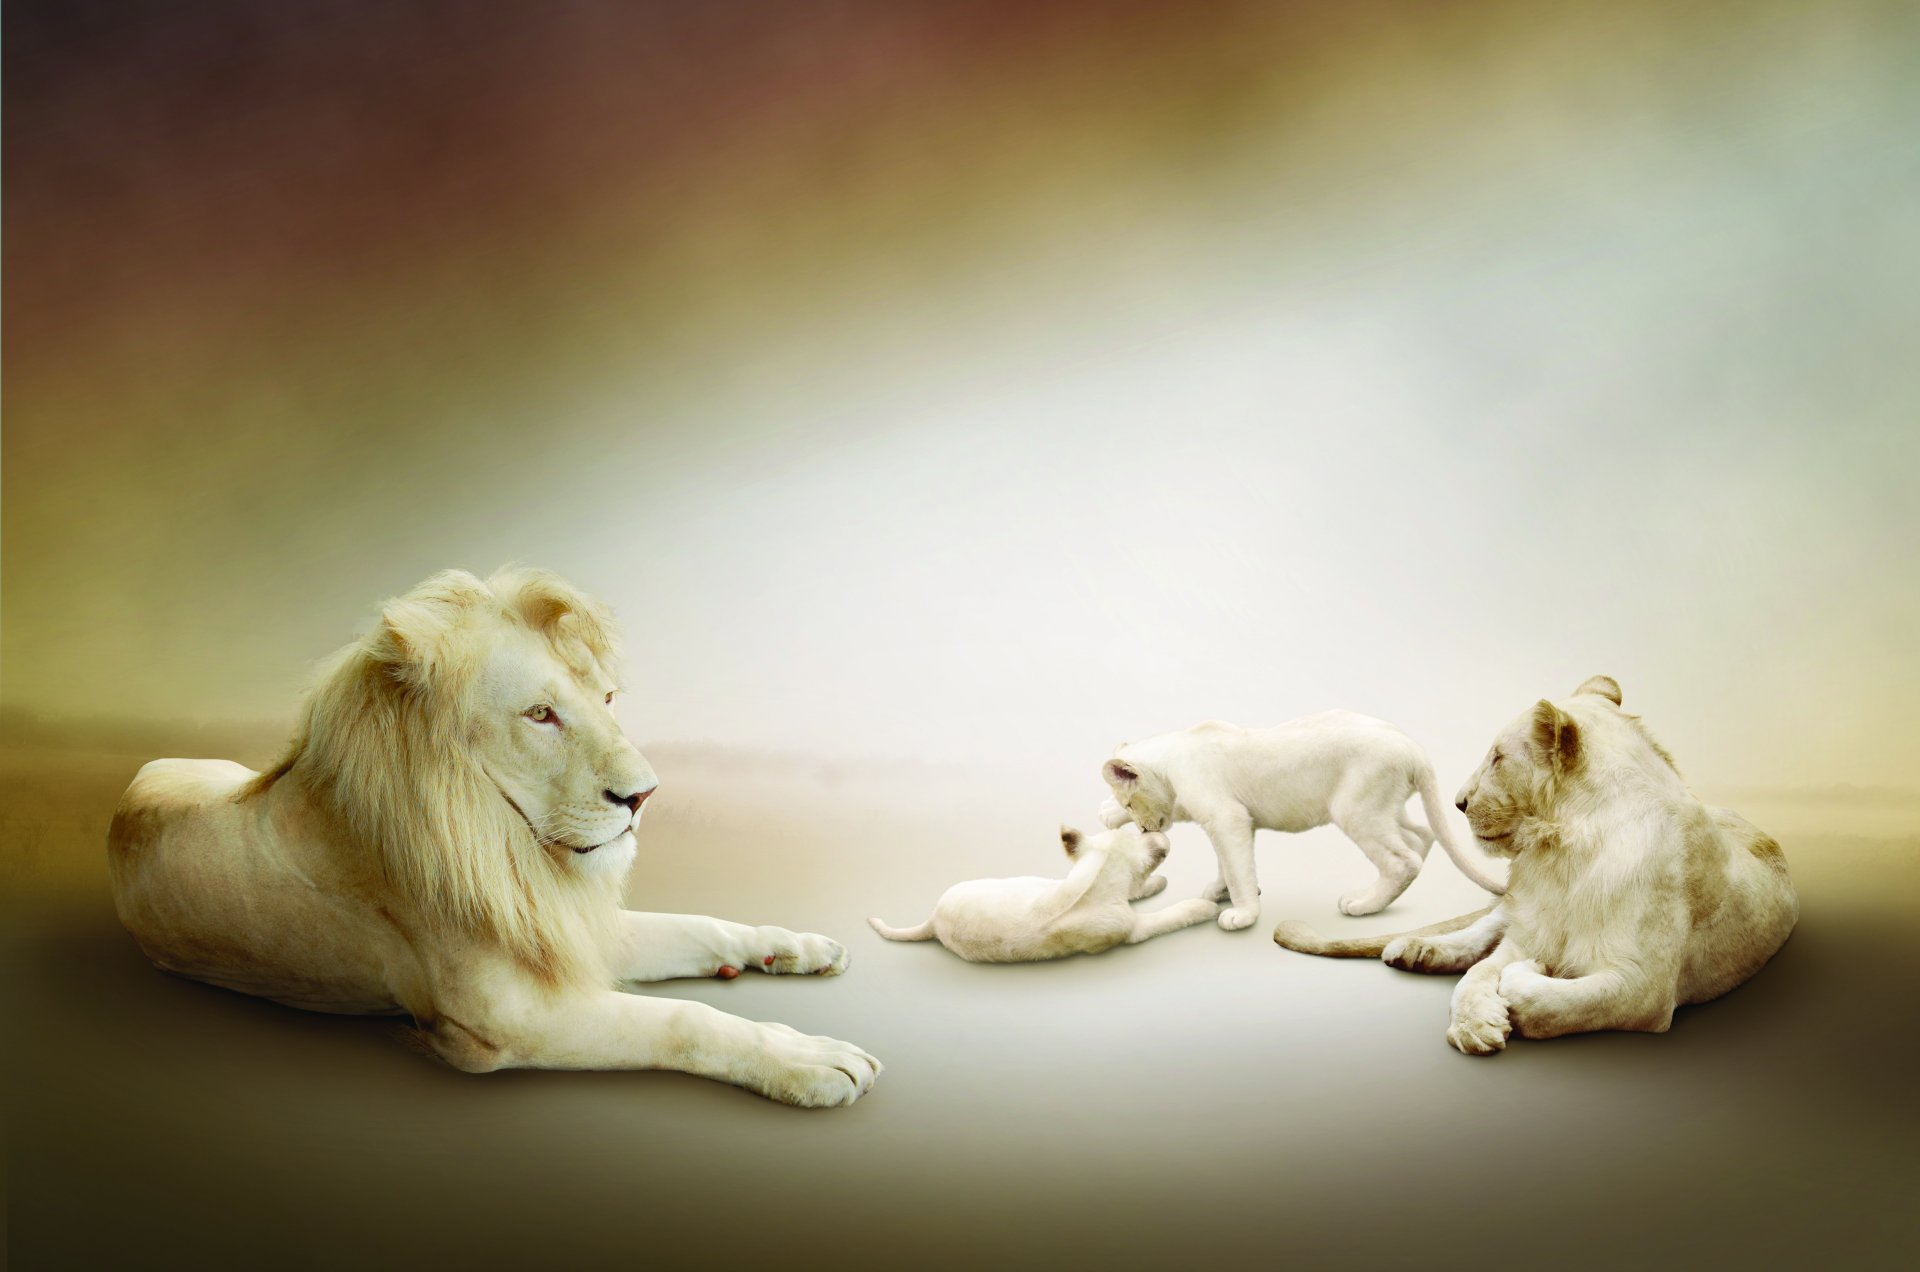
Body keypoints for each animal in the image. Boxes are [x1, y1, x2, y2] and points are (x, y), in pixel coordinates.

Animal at [107, 568, 880, 1106]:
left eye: (606, 699)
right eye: (540, 714)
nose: (645, 796)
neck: (514, 851)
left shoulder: (562, 927)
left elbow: (698, 924)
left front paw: (794, 947)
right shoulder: (506, 1020)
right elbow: (683, 1021)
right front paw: (810, 1060)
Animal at [867, 823, 1218, 961]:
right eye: (1136, 837)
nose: (1154, 831)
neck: (1093, 879)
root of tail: (933, 921)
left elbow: (1138, 890)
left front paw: (1157, 884)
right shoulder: (1130, 929)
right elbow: (1170, 915)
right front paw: (1205, 907)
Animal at [1100, 712, 1507, 931]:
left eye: (1130, 802)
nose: (1145, 829)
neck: (1171, 763)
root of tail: (1415, 749)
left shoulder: (1227, 817)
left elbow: (1236, 867)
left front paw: (1242, 914)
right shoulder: (1232, 820)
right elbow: (1228, 863)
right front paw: (1220, 891)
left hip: (1356, 809)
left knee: (1402, 859)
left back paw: (1364, 904)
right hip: (1384, 807)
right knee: (1420, 836)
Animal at [1272, 677, 1798, 1054]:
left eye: (1498, 758)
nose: (1459, 802)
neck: (1563, 856)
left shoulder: (1644, 988)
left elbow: (1556, 1001)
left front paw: (1525, 982)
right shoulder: (1531, 926)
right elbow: (1475, 975)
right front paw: (1475, 1026)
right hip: (1511, 908)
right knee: (1481, 932)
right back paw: (1416, 948)